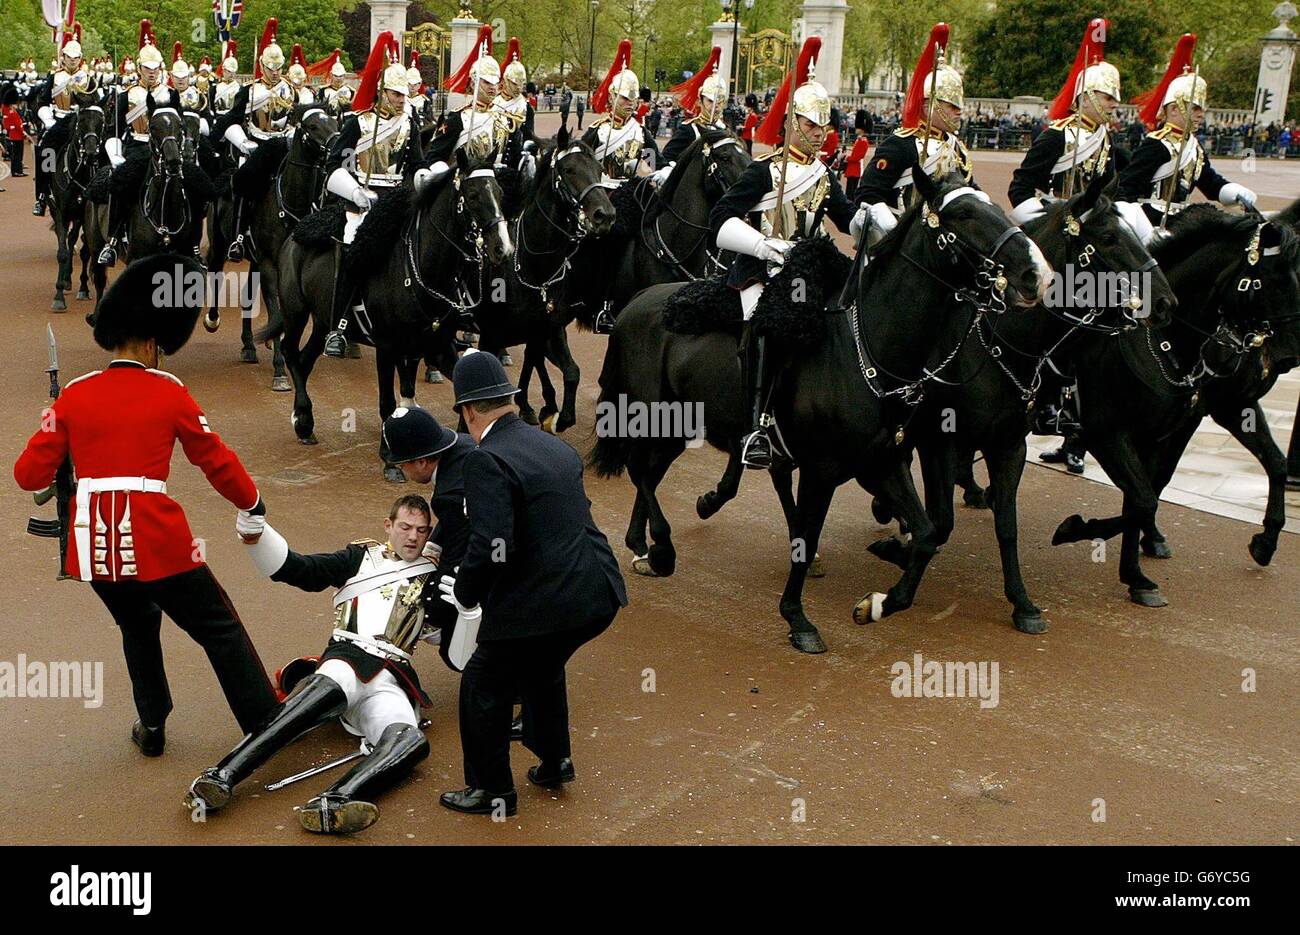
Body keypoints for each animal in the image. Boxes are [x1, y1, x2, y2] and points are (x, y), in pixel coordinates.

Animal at [263, 146, 512, 483]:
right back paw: (303, 418)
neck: (420, 269)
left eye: (500, 192)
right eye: (473, 195)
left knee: (304, 360)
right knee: (290, 352)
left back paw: (304, 419)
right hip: (295, 311)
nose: (503, 249)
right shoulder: (387, 347)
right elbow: (388, 401)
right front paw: (390, 460)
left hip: (323, 321)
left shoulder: (436, 347)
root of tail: (297, 232)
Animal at [595, 170, 1050, 650]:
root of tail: (633, 304)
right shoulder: (824, 468)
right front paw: (798, 619)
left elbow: (927, 533)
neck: (867, 348)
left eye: (994, 206)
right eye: (962, 214)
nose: (1035, 274)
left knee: (650, 472)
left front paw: (878, 603)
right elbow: (808, 537)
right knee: (639, 469)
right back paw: (662, 549)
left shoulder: (883, 461)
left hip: (679, 426)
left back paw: (643, 547)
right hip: (652, 416)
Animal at [1045, 201, 1300, 603]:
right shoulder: (1109, 434)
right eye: (1271, 280)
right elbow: (1144, 495)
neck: (1165, 342)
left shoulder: (1207, 414)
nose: (1289, 357)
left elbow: (1149, 491)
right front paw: (1077, 529)